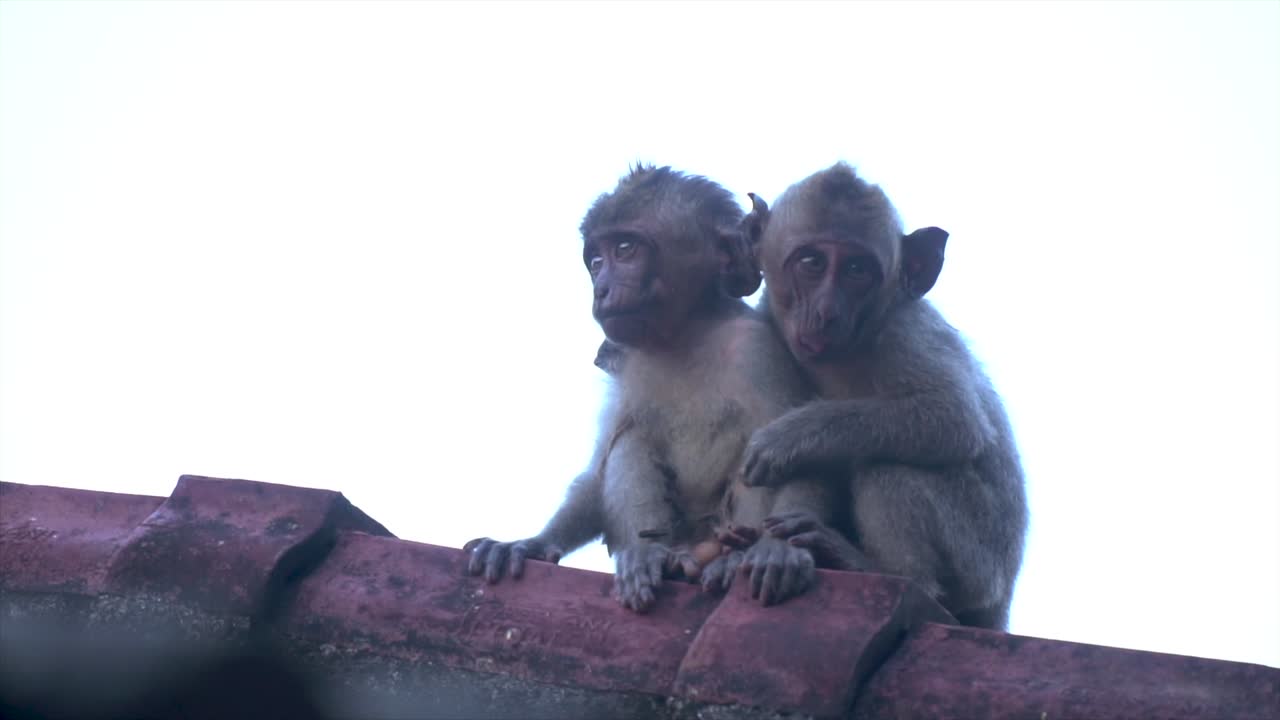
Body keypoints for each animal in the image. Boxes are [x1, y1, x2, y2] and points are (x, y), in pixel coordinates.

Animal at [466, 165, 837, 612]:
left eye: (625, 249)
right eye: (596, 261)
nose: (601, 289)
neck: (686, 334)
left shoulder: (758, 349)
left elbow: (788, 454)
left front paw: (780, 551)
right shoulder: (626, 361)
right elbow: (601, 465)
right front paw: (532, 544)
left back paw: (730, 560)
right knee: (631, 438)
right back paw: (652, 557)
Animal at [734, 162, 1028, 630]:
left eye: (857, 270)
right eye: (812, 262)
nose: (826, 312)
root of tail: (1001, 603)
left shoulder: (904, 331)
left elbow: (956, 417)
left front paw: (787, 437)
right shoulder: (764, 328)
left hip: (980, 561)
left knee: (887, 464)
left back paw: (881, 570)